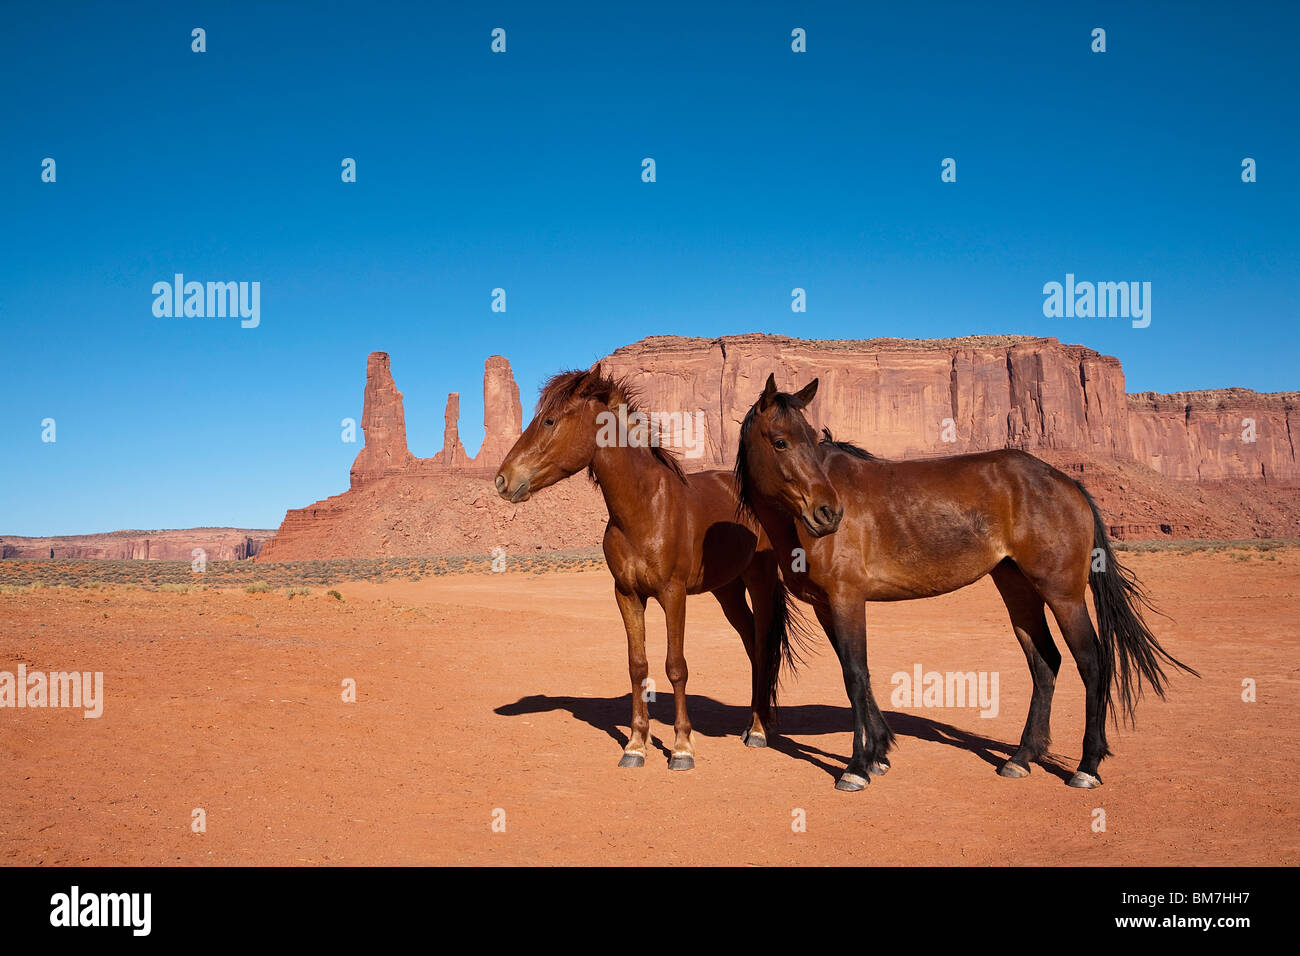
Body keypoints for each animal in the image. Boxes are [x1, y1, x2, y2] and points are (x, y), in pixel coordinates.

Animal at [496, 361, 800, 775]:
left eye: (549, 420)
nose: (502, 479)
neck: (644, 508)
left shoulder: (673, 594)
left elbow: (676, 666)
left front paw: (682, 747)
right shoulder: (627, 594)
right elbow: (637, 666)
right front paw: (636, 746)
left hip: (760, 581)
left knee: (764, 645)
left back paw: (757, 730)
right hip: (728, 591)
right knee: (753, 646)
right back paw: (754, 723)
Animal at [738, 374, 1190, 790]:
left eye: (811, 440)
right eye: (780, 442)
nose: (828, 513)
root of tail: (1067, 483)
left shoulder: (847, 599)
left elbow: (855, 674)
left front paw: (857, 766)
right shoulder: (826, 606)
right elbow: (857, 675)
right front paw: (880, 752)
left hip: (1063, 595)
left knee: (1091, 661)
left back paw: (1087, 766)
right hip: (1018, 589)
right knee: (1045, 661)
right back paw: (1021, 758)